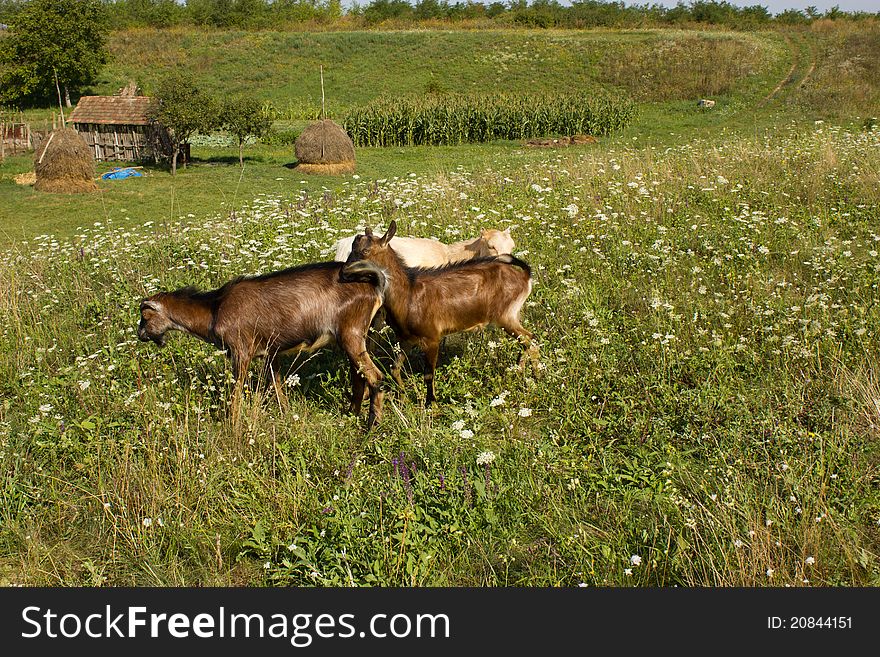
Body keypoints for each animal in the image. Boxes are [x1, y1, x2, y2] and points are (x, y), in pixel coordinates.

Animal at [138, 260, 384, 426]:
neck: (214, 310)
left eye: (146, 316)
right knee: (360, 377)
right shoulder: (270, 354)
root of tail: (374, 286)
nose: (140, 334)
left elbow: (236, 391)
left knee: (376, 377)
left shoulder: (241, 352)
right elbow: (277, 385)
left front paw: (231, 423)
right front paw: (287, 415)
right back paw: (351, 413)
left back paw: (372, 424)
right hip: (357, 338)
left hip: (351, 335)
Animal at [342, 220, 536, 404]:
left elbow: (429, 374)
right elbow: (395, 368)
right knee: (528, 341)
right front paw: (402, 398)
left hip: (506, 316)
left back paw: (534, 377)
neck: (408, 292)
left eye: (365, 251)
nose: (343, 273)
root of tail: (524, 276)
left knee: (530, 340)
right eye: (352, 249)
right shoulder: (406, 339)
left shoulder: (432, 338)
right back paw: (523, 373)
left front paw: (432, 405)